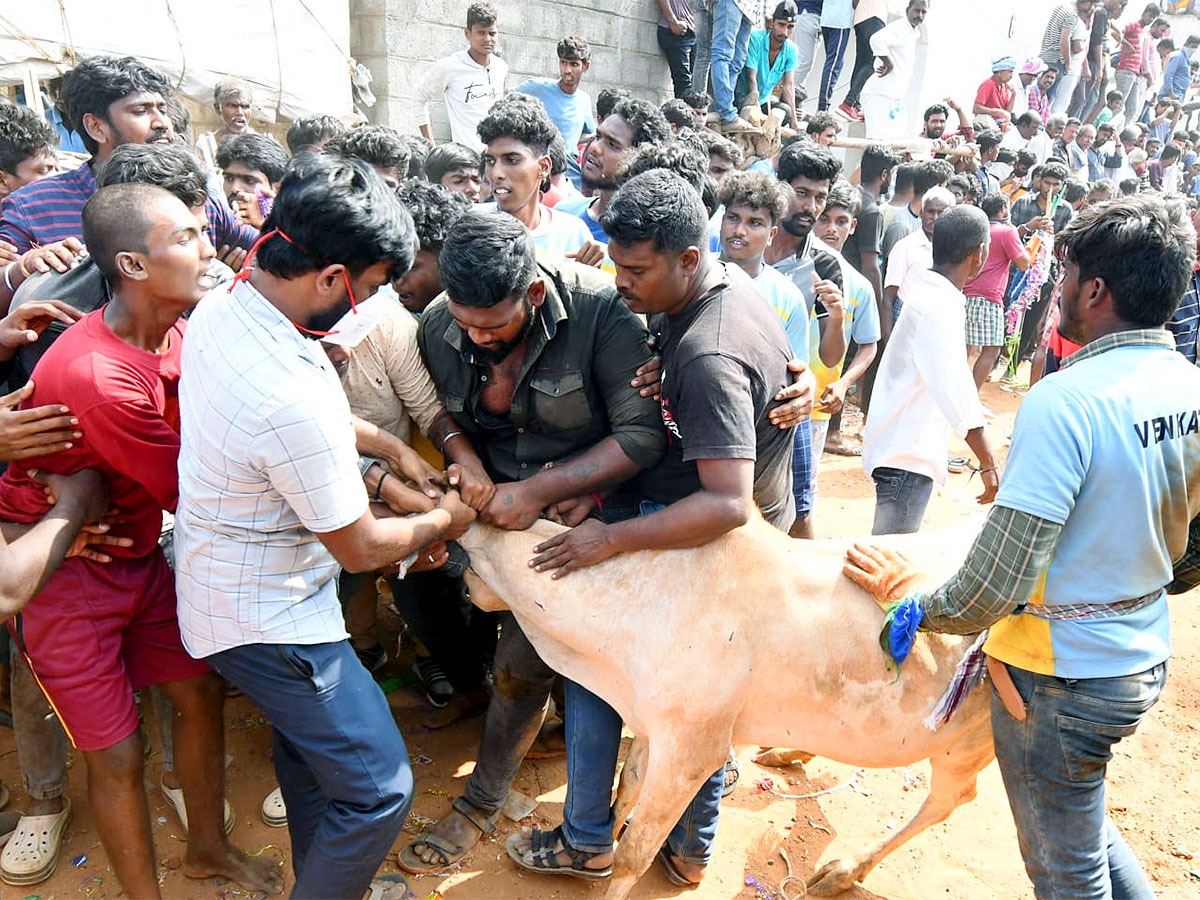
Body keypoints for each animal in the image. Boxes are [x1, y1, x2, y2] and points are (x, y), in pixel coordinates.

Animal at [458, 513, 993, 900]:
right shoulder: (652, 726)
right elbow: (625, 788)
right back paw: (789, 753)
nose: (463, 588)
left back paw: (843, 871)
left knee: (950, 800)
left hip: (969, 742)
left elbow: (635, 852)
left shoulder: (693, 750)